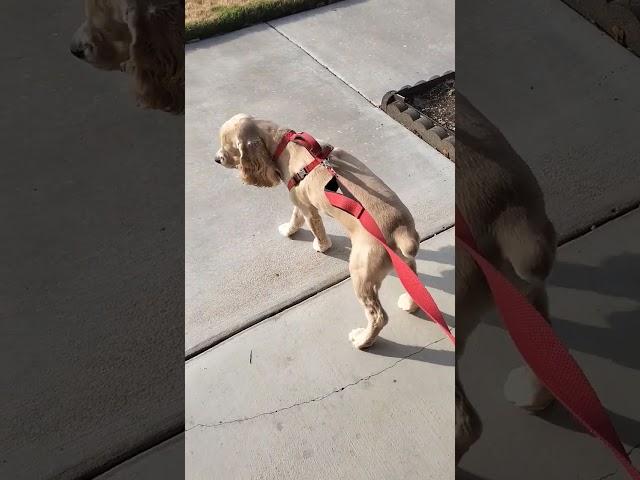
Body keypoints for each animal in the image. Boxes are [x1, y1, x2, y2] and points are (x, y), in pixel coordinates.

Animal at [214, 113, 424, 348]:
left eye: (228, 146)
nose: (216, 159)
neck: (283, 142)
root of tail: (400, 229)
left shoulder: (305, 205)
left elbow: (309, 224)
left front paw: (315, 243)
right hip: (404, 262)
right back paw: (409, 304)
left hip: (361, 273)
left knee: (379, 317)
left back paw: (362, 340)